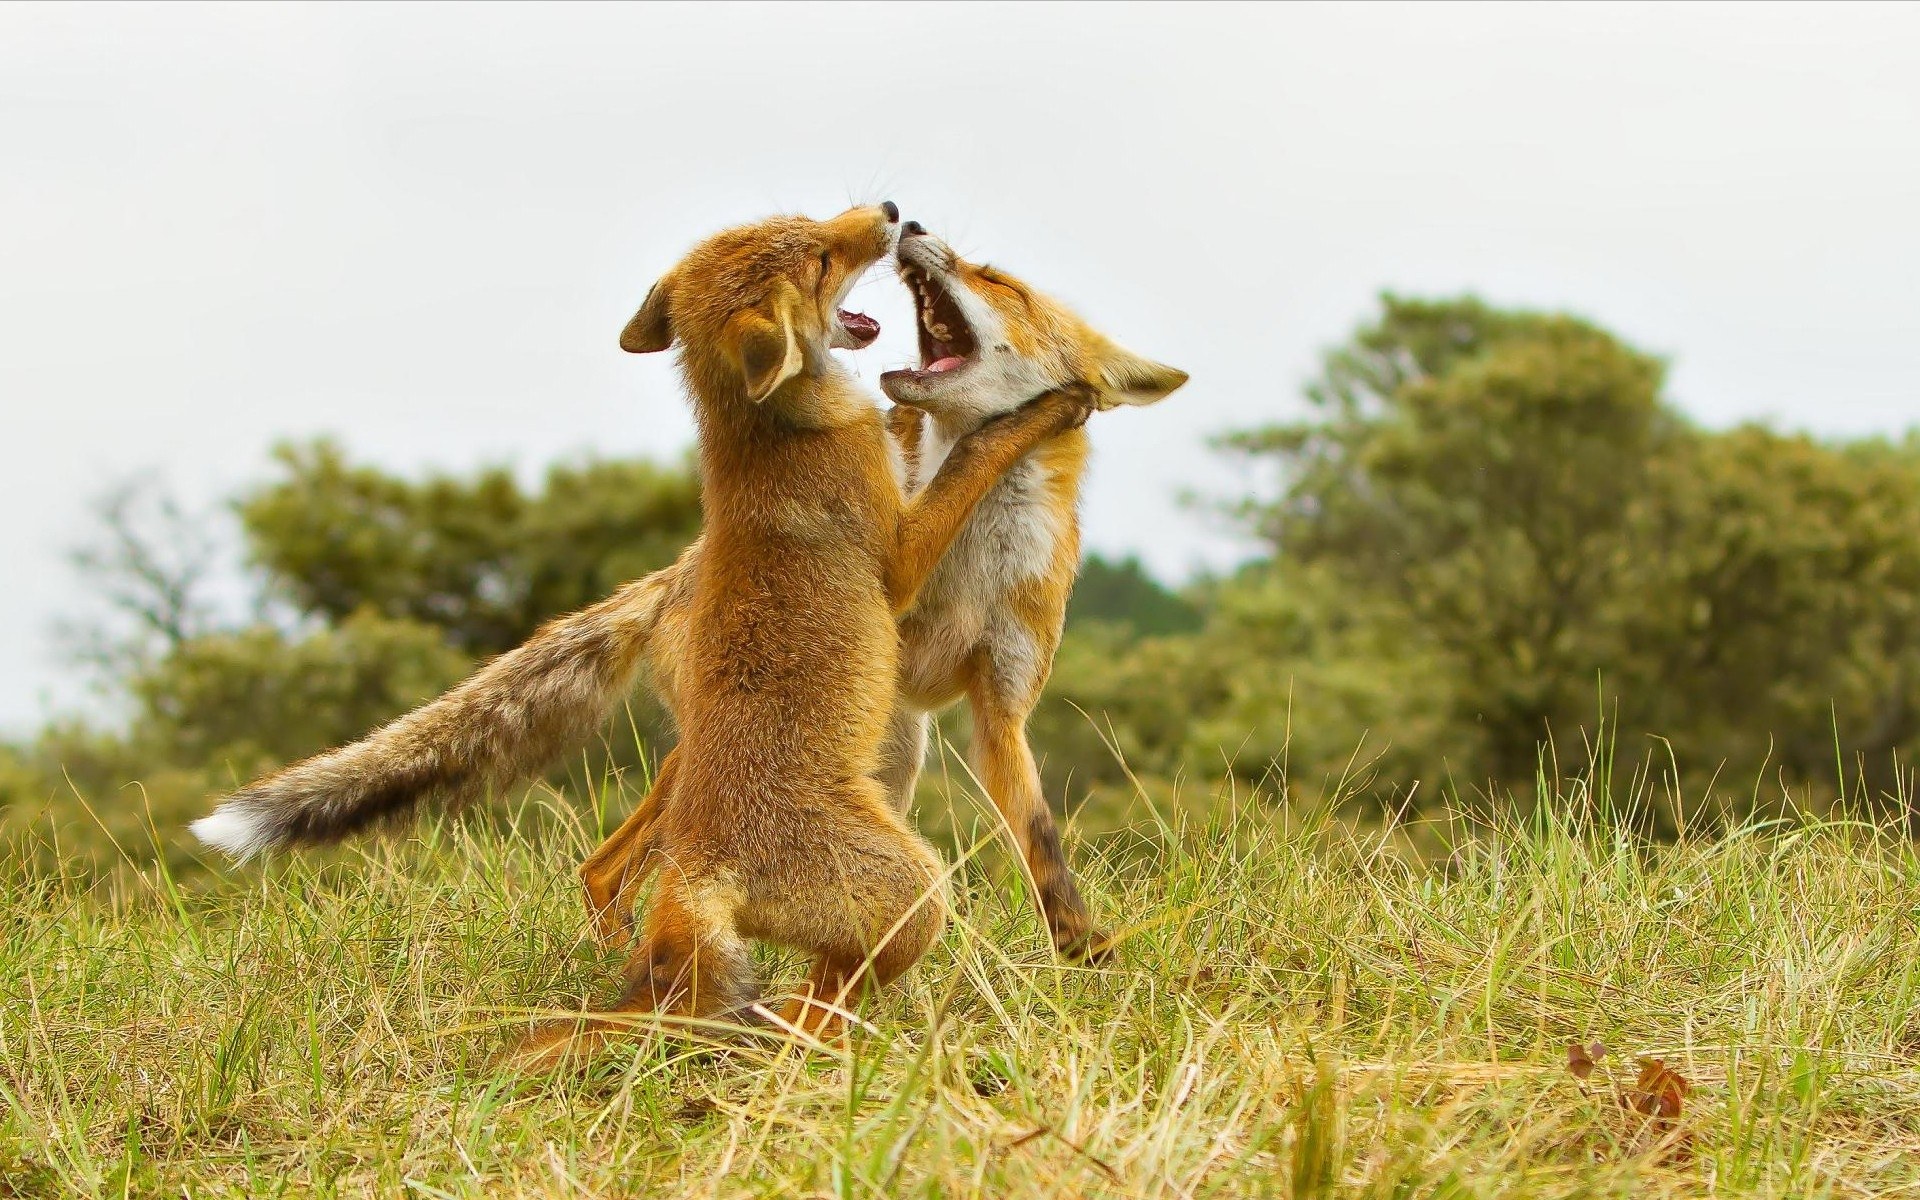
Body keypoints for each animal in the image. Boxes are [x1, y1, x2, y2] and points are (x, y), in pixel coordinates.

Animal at [194, 202, 1094, 1043]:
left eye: (805, 223)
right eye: (819, 256)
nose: (891, 212)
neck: (765, 436)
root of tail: (703, 873)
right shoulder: (899, 556)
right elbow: (971, 459)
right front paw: (1044, 409)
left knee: (649, 924)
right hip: (913, 892)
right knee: (798, 1004)